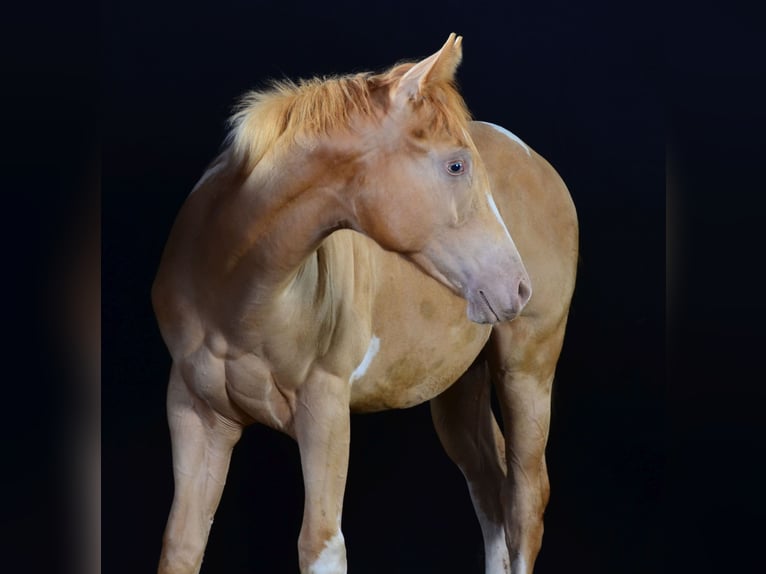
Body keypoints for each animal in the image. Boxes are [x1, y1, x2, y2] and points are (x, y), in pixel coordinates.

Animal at [152, 34, 578, 574]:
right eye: (456, 164)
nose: (518, 287)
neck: (237, 293)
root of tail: (537, 160)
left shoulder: (326, 410)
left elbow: (320, 544)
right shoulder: (197, 414)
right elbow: (182, 544)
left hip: (527, 369)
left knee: (524, 497)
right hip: (460, 388)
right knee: (491, 486)